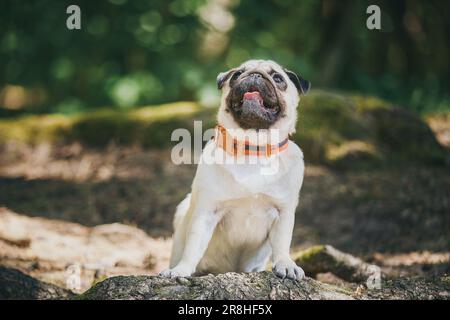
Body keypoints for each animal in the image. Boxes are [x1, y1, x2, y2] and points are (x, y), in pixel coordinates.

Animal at [160, 59, 312, 280]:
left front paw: (286, 264)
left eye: (278, 78)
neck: (253, 148)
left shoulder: (283, 212)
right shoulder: (206, 212)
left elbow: (283, 244)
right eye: (237, 74)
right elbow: (193, 247)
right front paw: (182, 269)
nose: (255, 74)